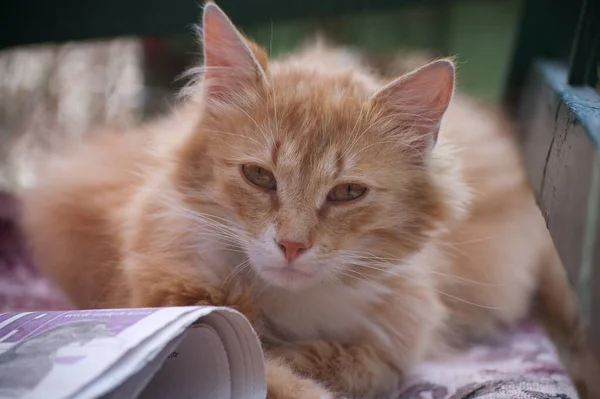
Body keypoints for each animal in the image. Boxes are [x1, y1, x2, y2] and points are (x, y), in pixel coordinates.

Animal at [21, 3, 596, 399]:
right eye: (258, 177)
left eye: (347, 193)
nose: (292, 246)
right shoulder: (168, 301)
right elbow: (272, 374)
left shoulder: (397, 338)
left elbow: (354, 365)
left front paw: (304, 358)